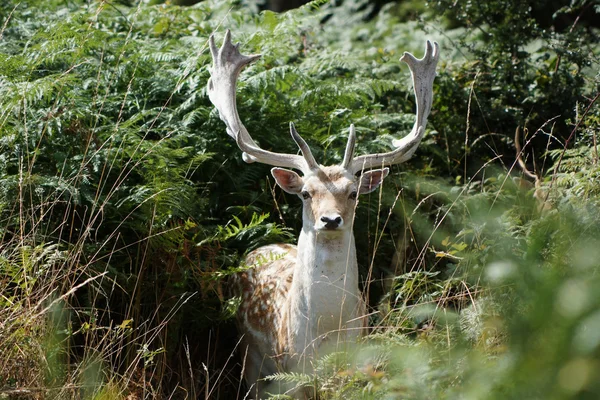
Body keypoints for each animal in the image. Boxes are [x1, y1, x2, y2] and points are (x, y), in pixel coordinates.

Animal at [207, 30, 440, 396]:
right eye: (305, 193)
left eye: (353, 192)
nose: (330, 219)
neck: (327, 335)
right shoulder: (292, 376)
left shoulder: (358, 369)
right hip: (252, 362)